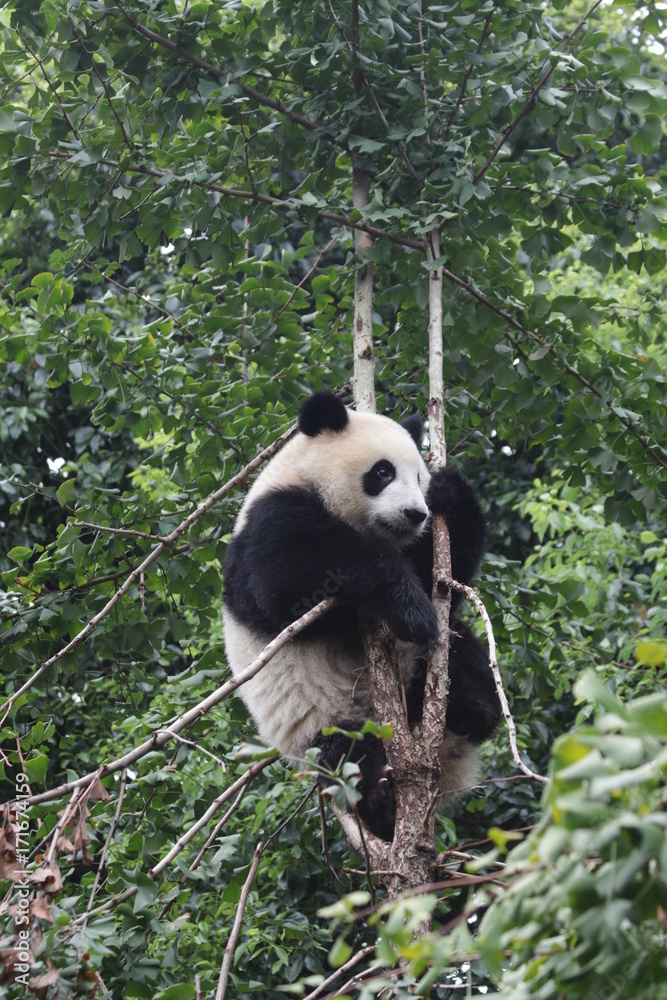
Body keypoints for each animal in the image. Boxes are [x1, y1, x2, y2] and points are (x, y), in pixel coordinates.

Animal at [222, 392, 501, 841]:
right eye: (383, 472)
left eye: (419, 478)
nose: (416, 514)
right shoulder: (270, 519)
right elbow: (292, 575)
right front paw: (411, 607)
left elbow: (442, 574)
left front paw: (450, 491)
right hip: (325, 723)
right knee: (349, 755)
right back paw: (382, 802)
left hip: (426, 669)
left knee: (462, 659)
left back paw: (470, 700)